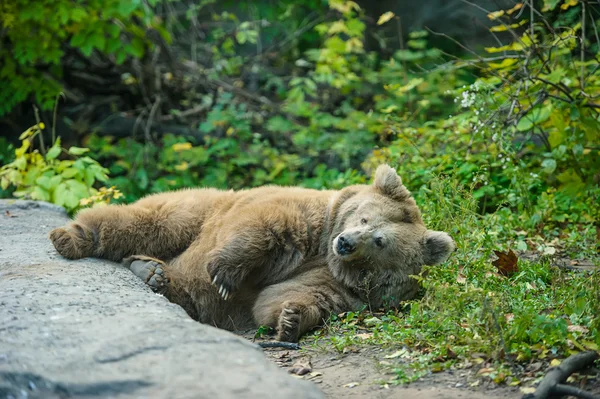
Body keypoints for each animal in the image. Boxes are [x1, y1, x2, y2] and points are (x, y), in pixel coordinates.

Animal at [49, 164, 454, 342]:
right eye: (364, 216)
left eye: (380, 241)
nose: (347, 242)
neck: (325, 251)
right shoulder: (306, 220)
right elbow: (262, 227)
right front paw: (223, 274)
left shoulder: (340, 284)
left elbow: (286, 297)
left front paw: (291, 319)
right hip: (203, 208)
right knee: (156, 220)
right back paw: (70, 237)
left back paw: (152, 274)